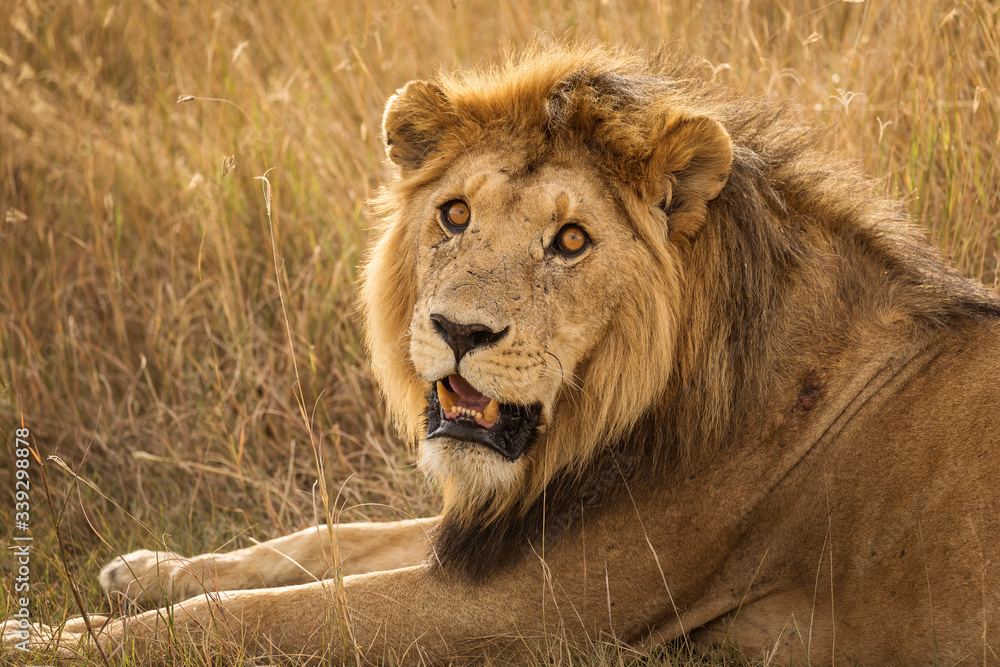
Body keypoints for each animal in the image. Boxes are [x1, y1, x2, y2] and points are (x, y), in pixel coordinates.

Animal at [6, 44, 1000, 665]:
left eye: (571, 240)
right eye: (454, 214)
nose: (459, 331)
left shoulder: (523, 613)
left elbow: (259, 619)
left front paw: (46, 639)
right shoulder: (505, 525)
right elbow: (325, 538)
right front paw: (144, 569)